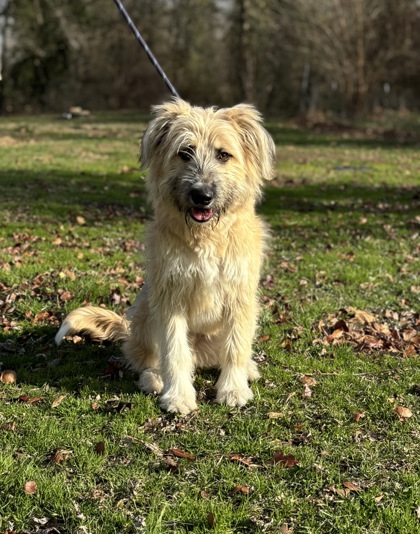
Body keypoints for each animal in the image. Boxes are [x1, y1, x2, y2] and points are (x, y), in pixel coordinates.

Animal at [55, 99, 275, 414]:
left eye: (223, 154)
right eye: (185, 152)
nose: (202, 195)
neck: (206, 237)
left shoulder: (240, 296)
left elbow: (236, 347)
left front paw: (233, 389)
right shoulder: (171, 297)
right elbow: (174, 352)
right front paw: (178, 396)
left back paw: (247, 368)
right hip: (147, 313)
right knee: (150, 360)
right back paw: (155, 379)